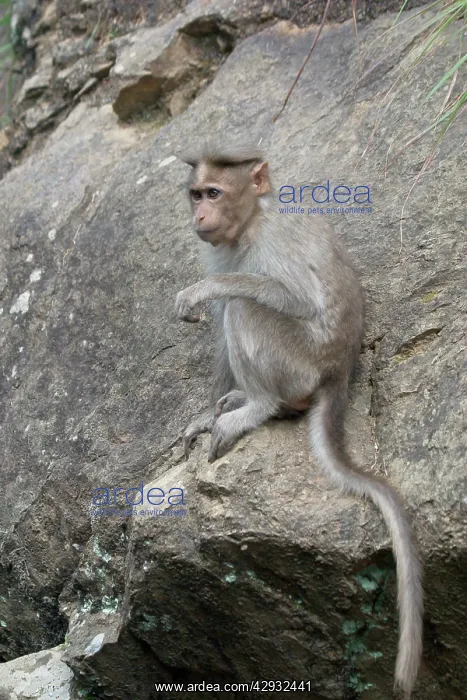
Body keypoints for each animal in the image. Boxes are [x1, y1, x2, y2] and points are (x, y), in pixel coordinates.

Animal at [175, 142, 423, 698]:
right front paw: (202, 412)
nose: (199, 215)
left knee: (247, 308)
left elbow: (285, 296)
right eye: (197, 194)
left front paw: (204, 288)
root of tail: (337, 373)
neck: (249, 225)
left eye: (214, 193)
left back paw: (257, 406)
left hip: (297, 364)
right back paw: (237, 400)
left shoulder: (274, 243)